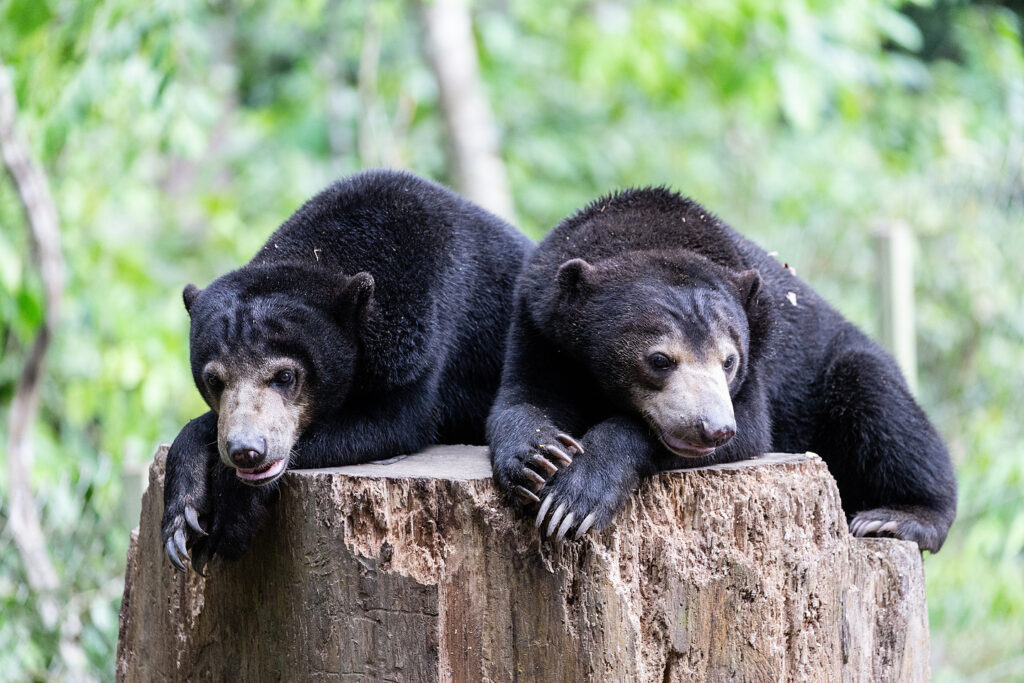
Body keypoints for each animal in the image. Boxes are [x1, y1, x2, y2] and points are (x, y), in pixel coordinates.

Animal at [162, 169, 534, 572]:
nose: (246, 450)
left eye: (285, 376)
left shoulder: (424, 341)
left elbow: (396, 422)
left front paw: (230, 518)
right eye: (214, 380)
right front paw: (182, 520)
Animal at [487, 187, 957, 552]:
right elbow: (523, 398)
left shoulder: (760, 357)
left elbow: (752, 429)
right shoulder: (539, 324)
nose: (712, 430)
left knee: (880, 403)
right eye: (659, 359)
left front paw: (573, 499)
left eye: (729, 361)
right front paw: (539, 457)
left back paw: (896, 517)